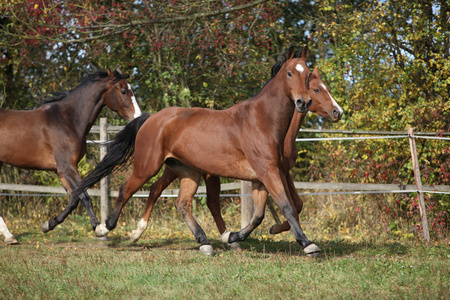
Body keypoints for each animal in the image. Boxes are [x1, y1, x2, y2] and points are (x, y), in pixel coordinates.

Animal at [0, 67, 141, 244]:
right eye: (123, 91)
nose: (138, 117)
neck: (67, 120)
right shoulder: (67, 167)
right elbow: (85, 197)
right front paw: (99, 229)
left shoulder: (60, 171)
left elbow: (74, 199)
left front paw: (48, 224)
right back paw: (9, 236)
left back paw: (9, 236)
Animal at [74, 46, 342, 255]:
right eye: (289, 73)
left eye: (308, 76)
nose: (303, 103)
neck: (261, 121)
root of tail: (152, 118)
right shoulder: (269, 172)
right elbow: (287, 206)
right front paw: (308, 244)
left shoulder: (261, 178)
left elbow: (259, 215)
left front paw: (232, 237)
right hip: (147, 167)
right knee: (126, 190)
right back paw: (106, 229)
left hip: (188, 172)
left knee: (182, 204)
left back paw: (204, 242)